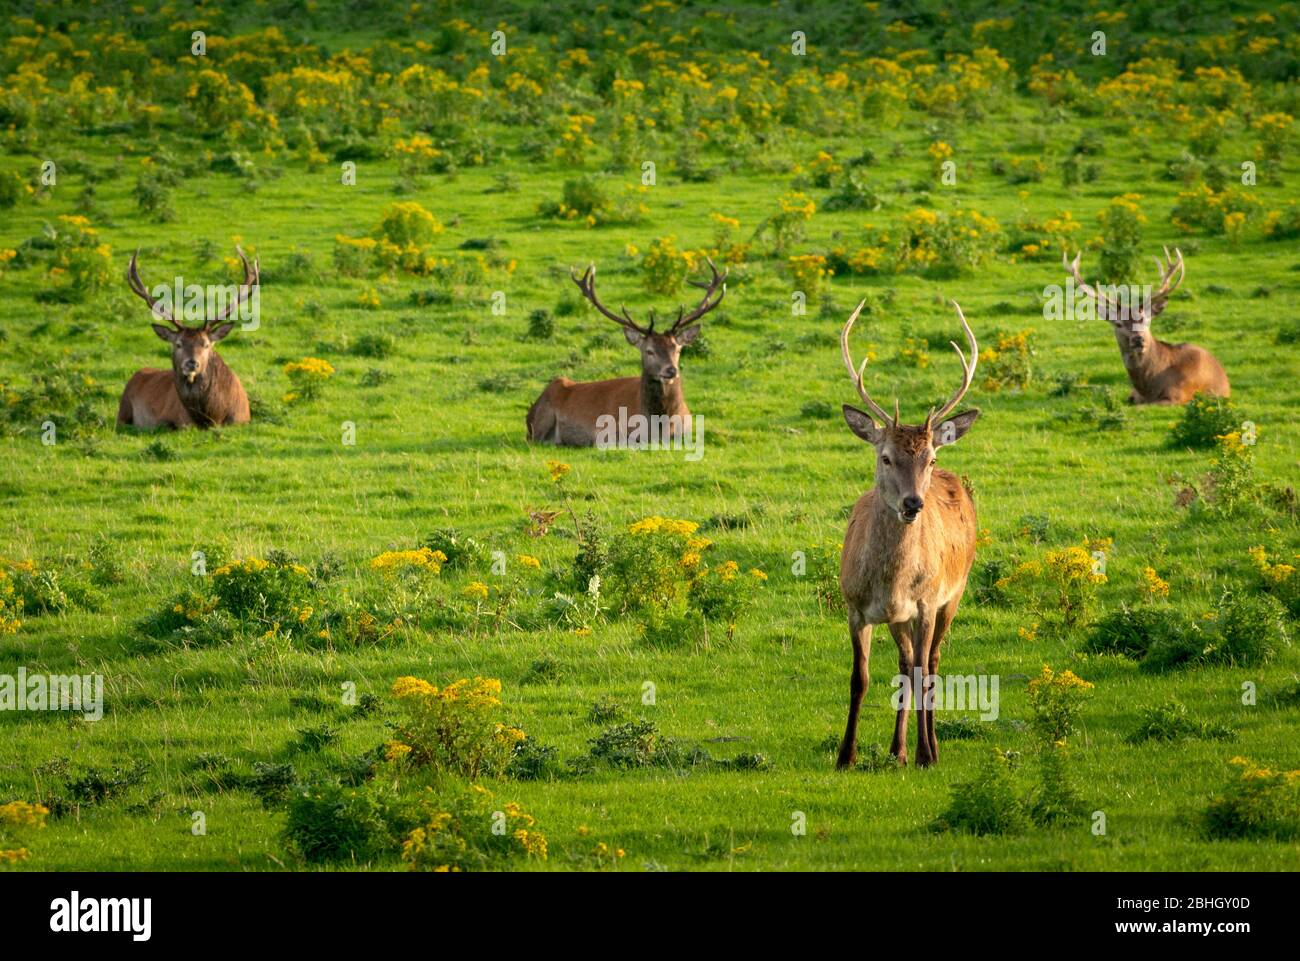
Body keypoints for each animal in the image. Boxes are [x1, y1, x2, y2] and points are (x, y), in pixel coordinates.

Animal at [120, 248, 254, 429]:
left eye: (206, 344)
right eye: (178, 344)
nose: (192, 363)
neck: (213, 416)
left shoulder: (243, 419)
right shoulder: (168, 420)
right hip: (122, 410)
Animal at [527, 258, 733, 447]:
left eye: (677, 349)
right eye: (649, 351)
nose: (671, 370)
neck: (660, 428)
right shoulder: (606, 432)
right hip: (539, 423)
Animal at [837, 300, 977, 764]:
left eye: (930, 458)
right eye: (885, 457)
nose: (913, 503)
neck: (890, 581)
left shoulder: (926, 603)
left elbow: (921, 672)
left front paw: (925, 753)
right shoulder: (854, 606)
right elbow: (859, 678)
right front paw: (845, 755)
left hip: (955, 592)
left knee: (929, 664)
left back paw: (928, 747)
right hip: (899, 618)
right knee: (905, 663)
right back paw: (896, 749)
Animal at [1066, 248, 1227, 405]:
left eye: (1146, 320)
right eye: (1118, 323)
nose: (1138, 339)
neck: (1149, 389)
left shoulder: (1179, 395)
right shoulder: (1133, 395)